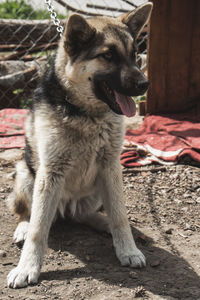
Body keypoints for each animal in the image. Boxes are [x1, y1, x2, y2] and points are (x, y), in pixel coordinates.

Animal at [7, 2, 152, 288]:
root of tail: (65, 210)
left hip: (100, 187)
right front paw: (26, 267)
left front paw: (127, 249)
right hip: (26, 174)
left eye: (135, 55)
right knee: (28, 213)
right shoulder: (50, 173)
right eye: (108, 56)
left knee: (90, 215)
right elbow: (39, 230)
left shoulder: (111, 166)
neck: (87, 114)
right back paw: (23, 227)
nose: (145, 84)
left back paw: (105, 223)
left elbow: (120, 215)